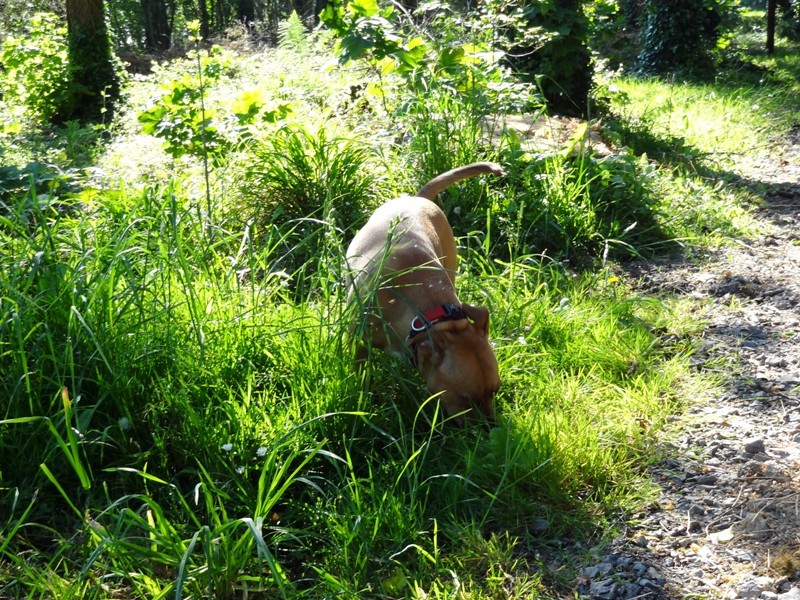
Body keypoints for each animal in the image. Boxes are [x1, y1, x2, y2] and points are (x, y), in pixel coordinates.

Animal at [346, 162, 506, 420]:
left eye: (495, 390)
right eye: (466, 400)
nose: (490, 427)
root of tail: (417, 197)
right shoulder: (358, 339)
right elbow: (360, 373)